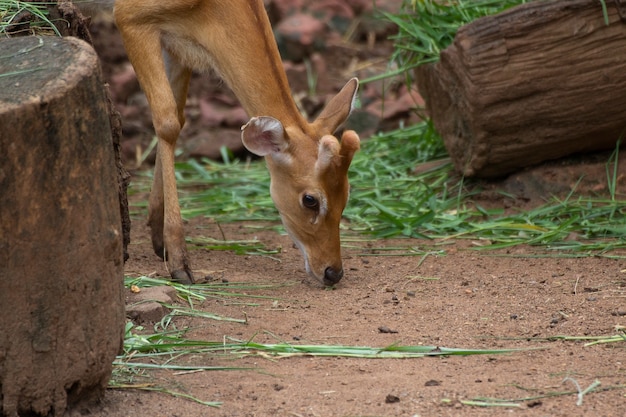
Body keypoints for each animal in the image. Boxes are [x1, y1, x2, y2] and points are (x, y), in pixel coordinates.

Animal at [105, 0, 358, 284]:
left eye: (347, 191)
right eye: (310, 200)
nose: (333, 272)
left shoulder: (174, 44)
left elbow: (177, 115)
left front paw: (160, 241)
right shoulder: (128, 17)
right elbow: (167, 121)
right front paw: (180, 263)